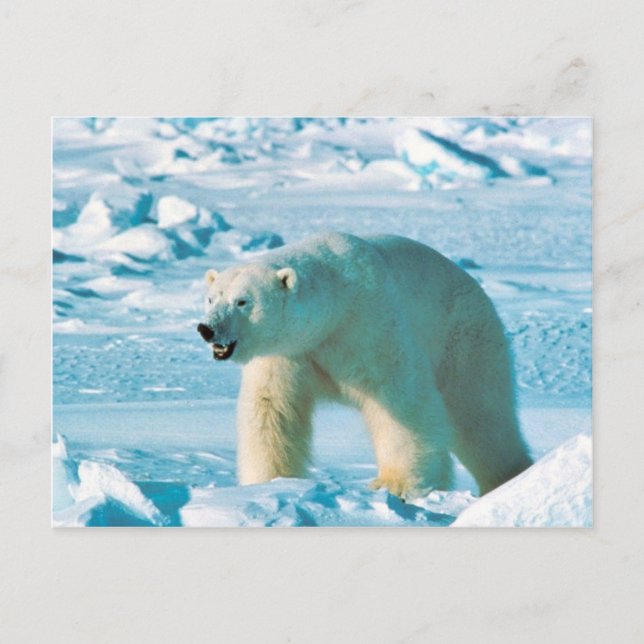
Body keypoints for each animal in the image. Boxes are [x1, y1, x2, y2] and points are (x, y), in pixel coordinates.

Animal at [197, 232, 532, 498]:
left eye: (242, 301)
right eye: (212, 299)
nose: (207, 329)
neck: (333, 309)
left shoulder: (368, 325)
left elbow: (400, 400)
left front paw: (396, 484)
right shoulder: (287, 353)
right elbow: (271, 408)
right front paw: (267, 483)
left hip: (465, 341)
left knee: (481, 416)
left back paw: (508, 479)